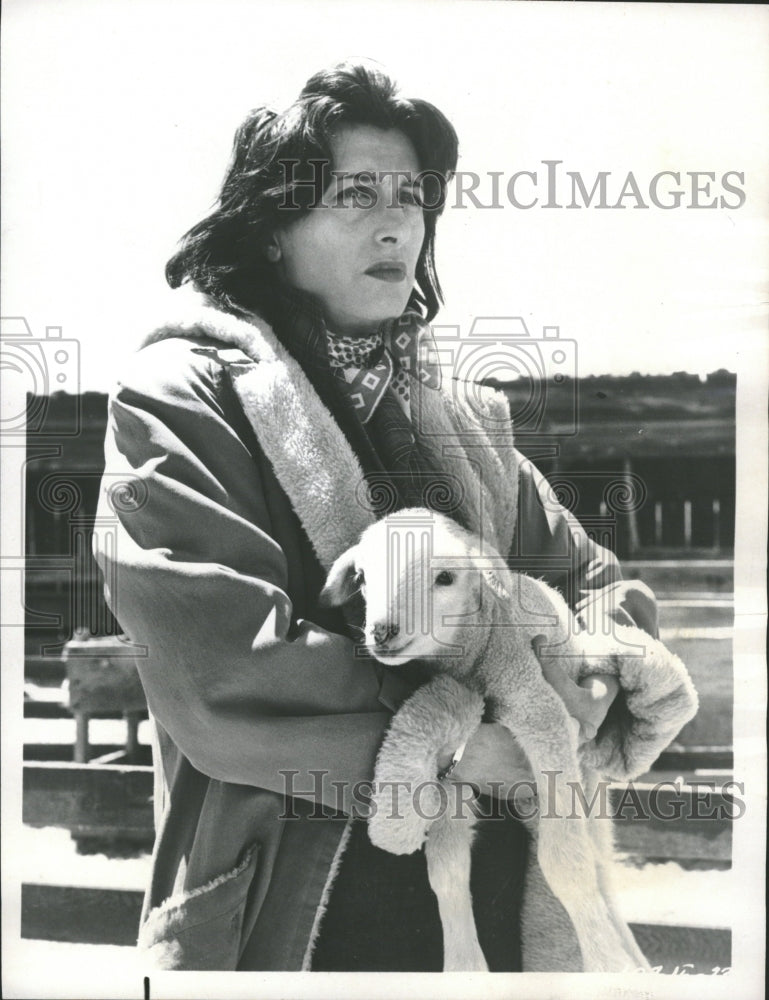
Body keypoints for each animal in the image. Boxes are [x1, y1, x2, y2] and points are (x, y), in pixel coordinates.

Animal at [320, 508, 696, 968]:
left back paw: (628, 959)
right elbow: (447, 871)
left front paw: (607, 965)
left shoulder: (541, 708)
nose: (383, 631)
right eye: (364, 576)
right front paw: (465, 967)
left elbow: (567, 864)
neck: (479, 644)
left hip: (584, 783)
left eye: (446, 577)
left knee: (598, 866)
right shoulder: (453, 759)